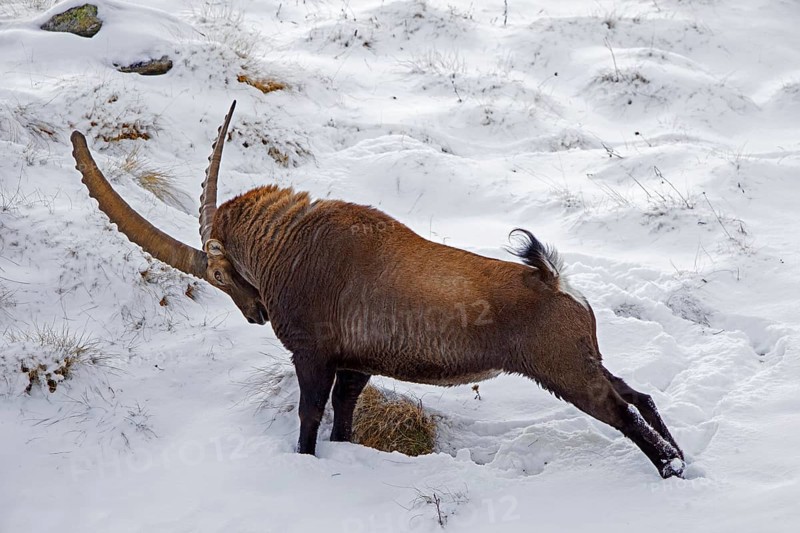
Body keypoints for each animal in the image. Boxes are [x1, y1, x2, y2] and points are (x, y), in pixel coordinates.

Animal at [70, 102, 685, 478]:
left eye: (219, 275)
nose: (255, 313)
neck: (291, 245)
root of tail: (555, 280)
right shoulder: (355, 364)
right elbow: (343, 420)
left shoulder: (314, 355)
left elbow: (310, 418)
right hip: (579, 359)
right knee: (639, 395)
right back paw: (683, 459)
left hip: (563, 370)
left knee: (622, 411)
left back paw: (671, 470)